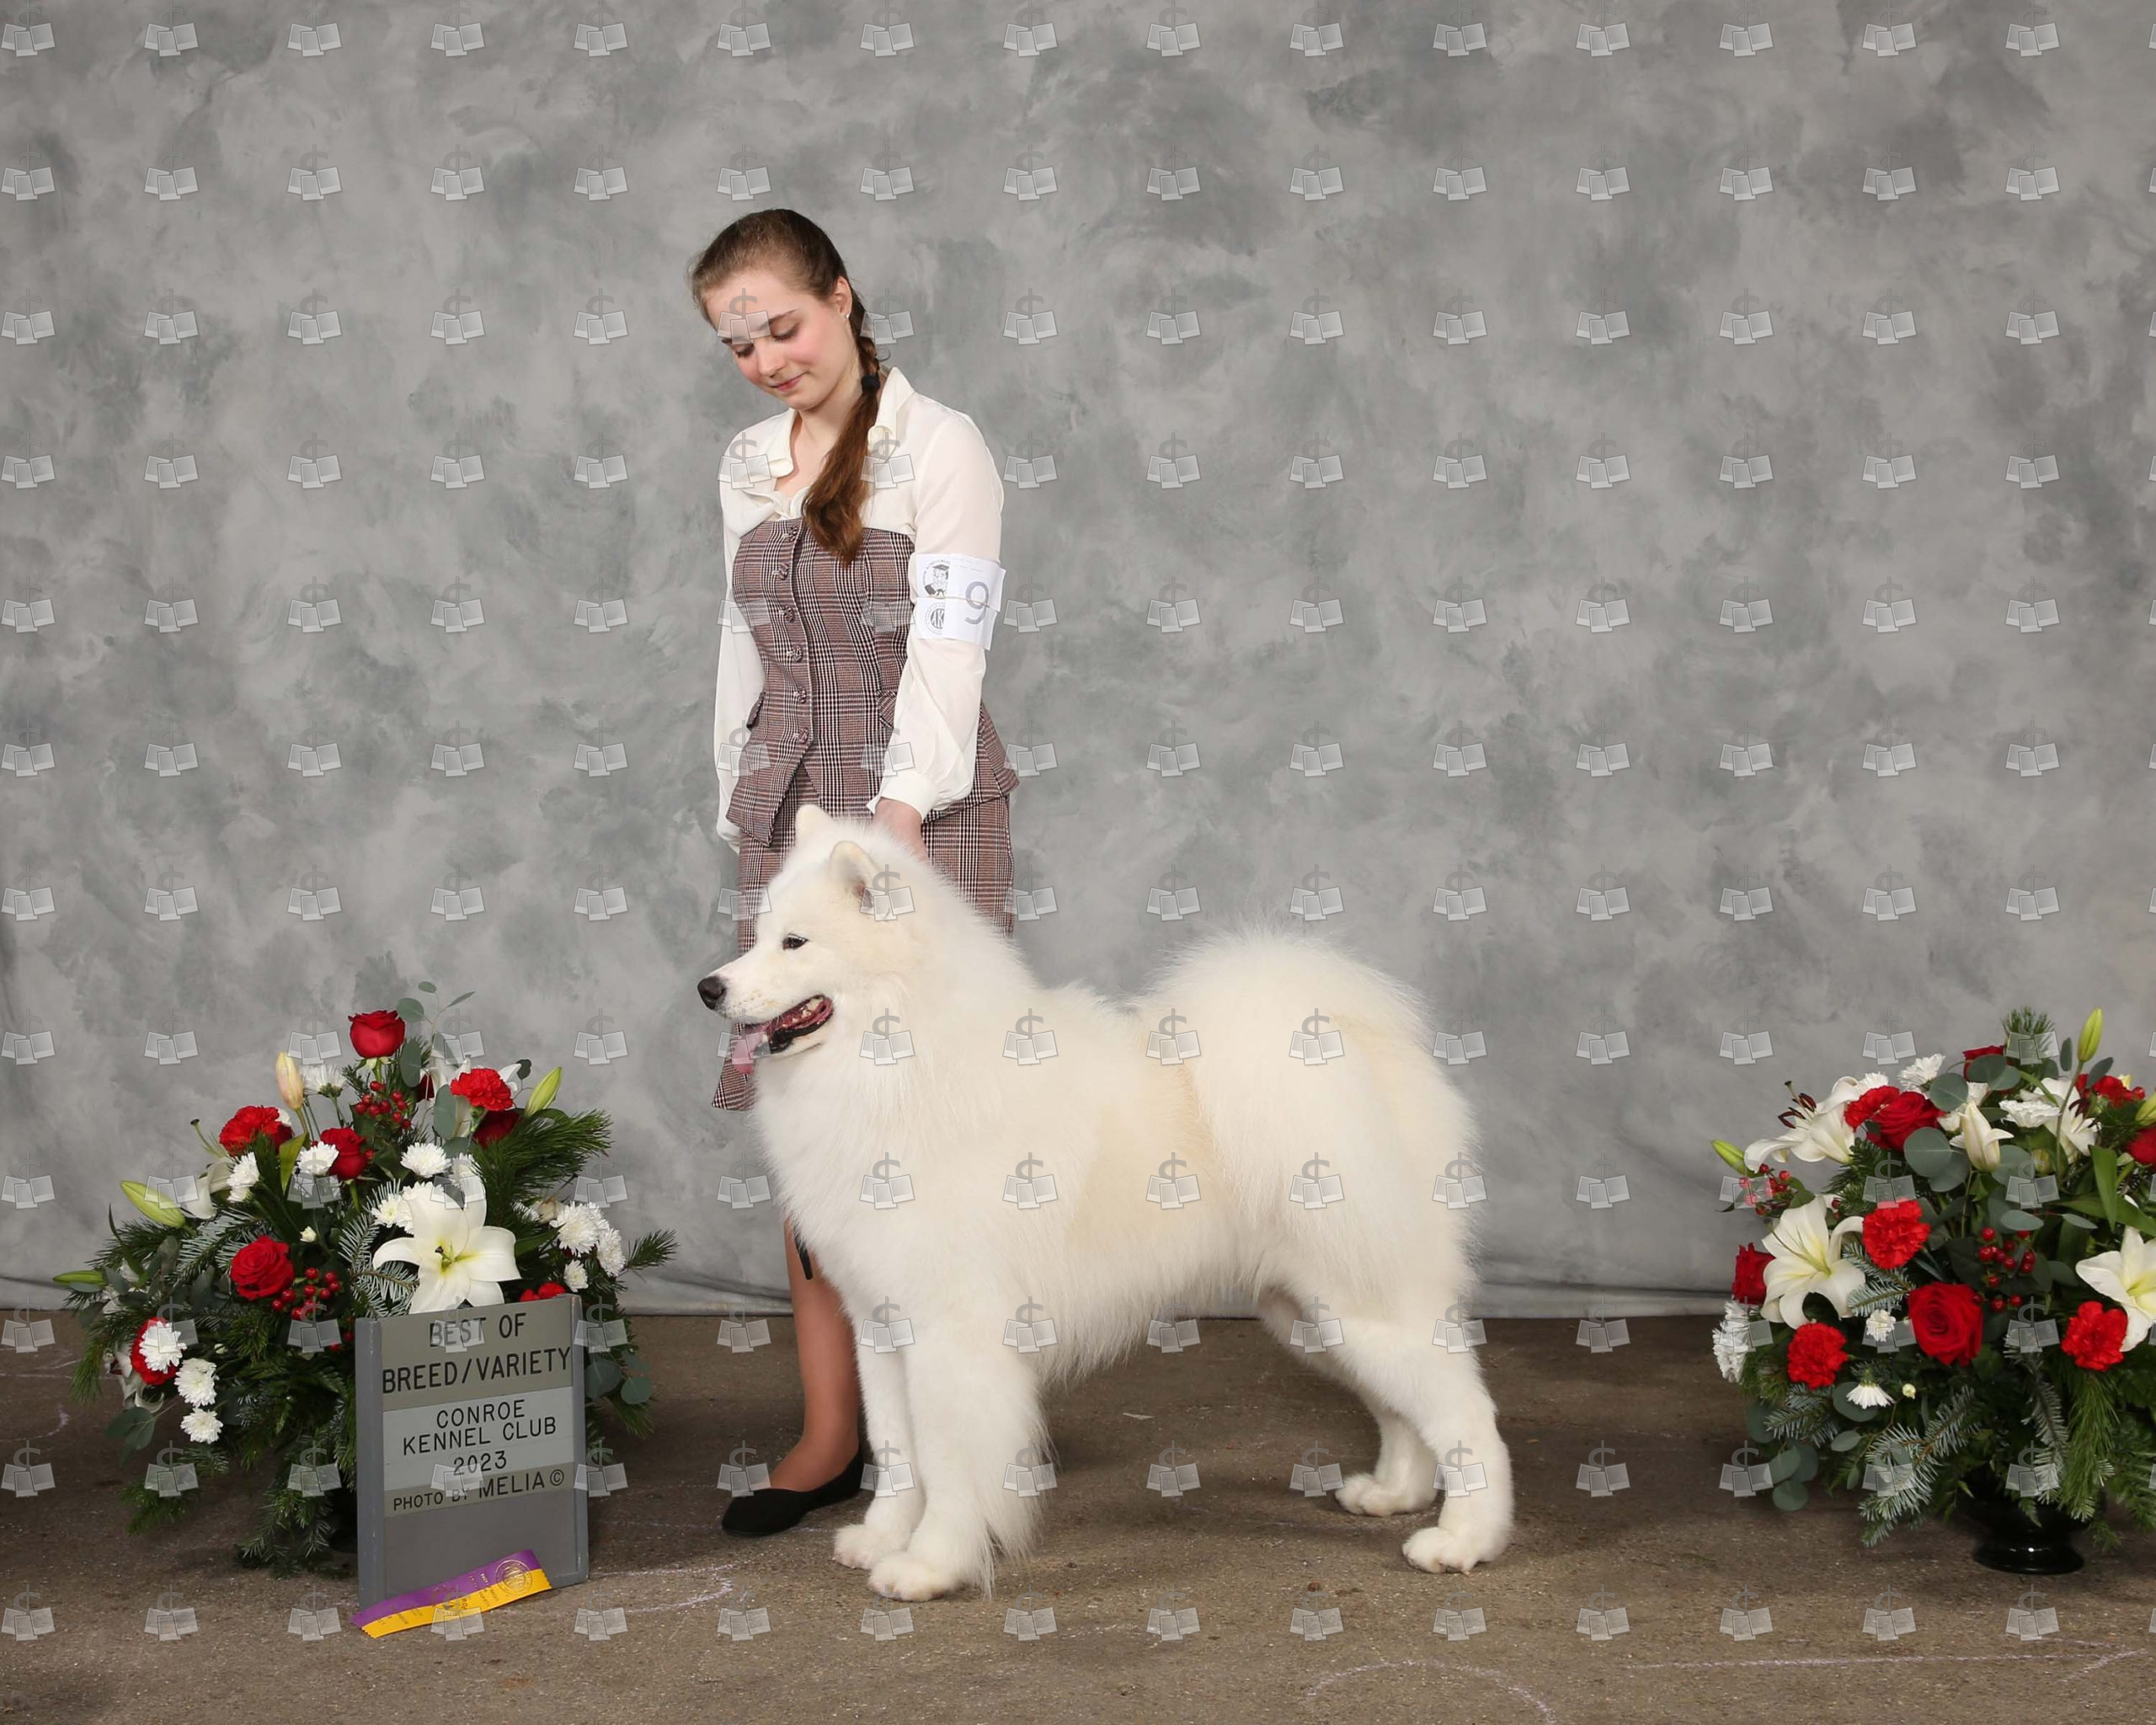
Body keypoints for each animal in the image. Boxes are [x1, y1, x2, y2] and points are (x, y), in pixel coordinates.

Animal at [699, 804, 1513, 1600]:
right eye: (758, 935)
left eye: (796, 942)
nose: (710, 988)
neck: (900, 1068)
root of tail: (1372, 1049)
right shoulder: (881, 1322)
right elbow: (899, 1452)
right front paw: (880, 1539)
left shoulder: (953, 1331)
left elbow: (949, 1461)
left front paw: (931, 1564)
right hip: (1311, 1313)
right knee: (1400, 1408)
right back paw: (1394, 1492)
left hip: (1364, 1297)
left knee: (1467, 1412)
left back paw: (1463, 1541)